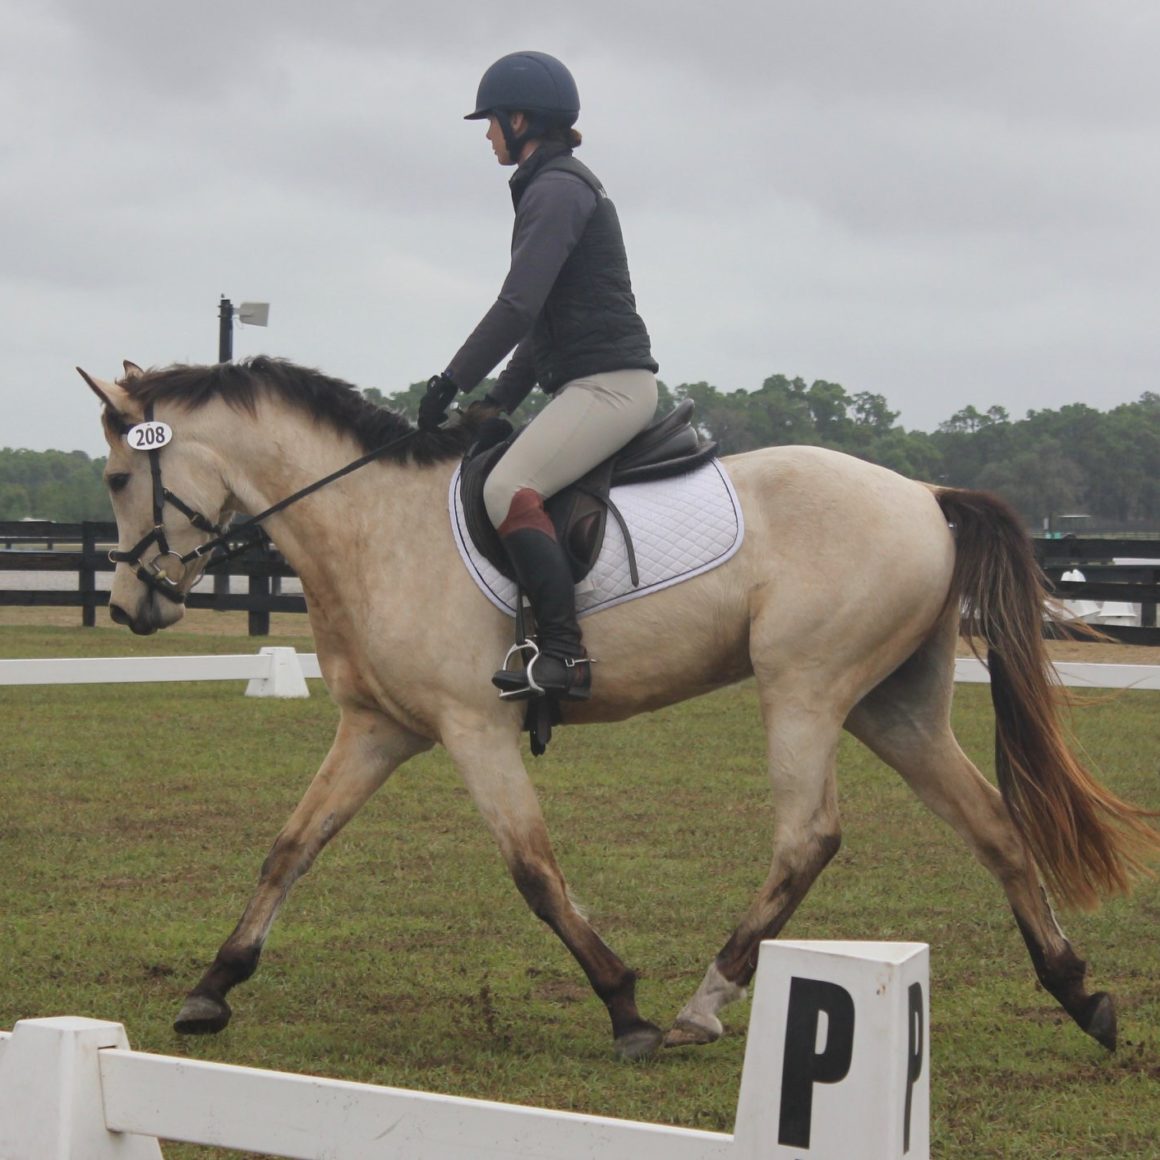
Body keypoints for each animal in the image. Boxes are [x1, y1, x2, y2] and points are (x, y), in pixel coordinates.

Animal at [79, 355, 1159, 1060]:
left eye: (121, 476)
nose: (132, 607)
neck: (370, 522)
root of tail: (926, 494)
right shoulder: (379, 729)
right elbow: (290, 846)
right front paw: (210, 989)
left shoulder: (473, 728)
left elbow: (532, 870)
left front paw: (623, 1005)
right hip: (893, 707)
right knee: (993, 825)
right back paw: (1079, 994)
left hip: (805, 688)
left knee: (808, 835)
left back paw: (701, 1005)